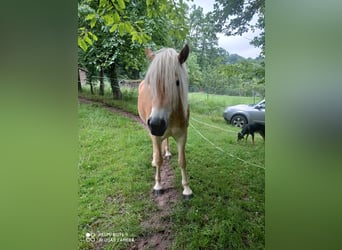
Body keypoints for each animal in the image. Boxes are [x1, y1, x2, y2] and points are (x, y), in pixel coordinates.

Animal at [138, 44, 192, 198]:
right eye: (151, 83)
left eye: (177, 82)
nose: (156, 124)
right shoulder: (155, 134)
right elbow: (158, 160)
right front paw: (158, 186)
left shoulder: (182, 135)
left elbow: (182, 161)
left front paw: (186, 189)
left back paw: (166, 152)